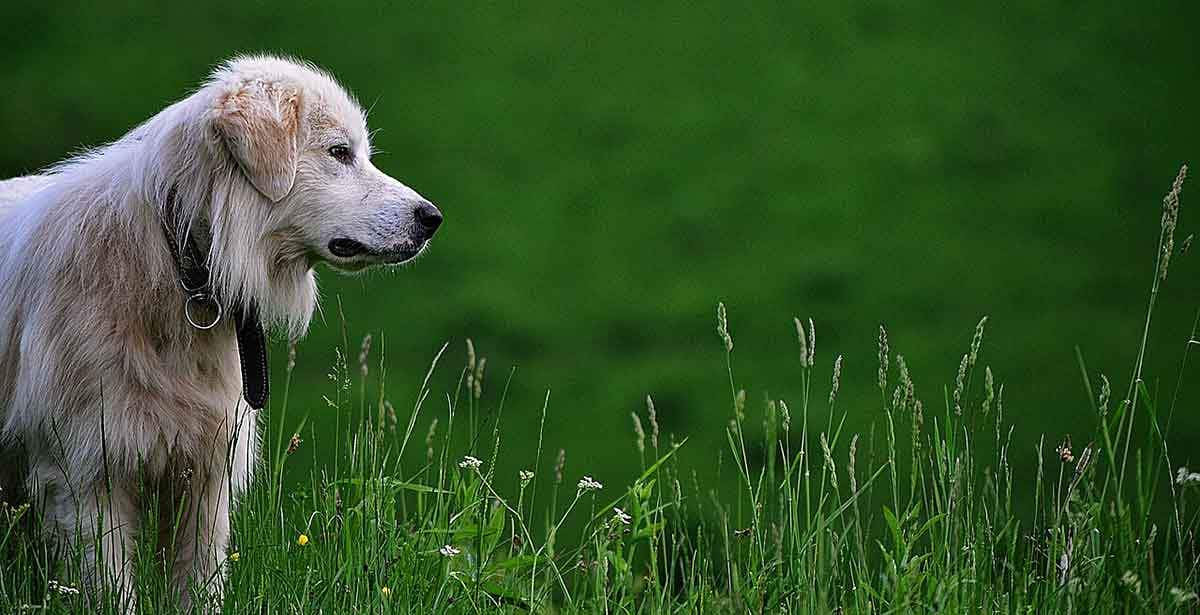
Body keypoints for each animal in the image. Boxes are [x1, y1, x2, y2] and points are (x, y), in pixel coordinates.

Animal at [0, 57, 441, 610]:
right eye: (340, 153)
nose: (433, 218)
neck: (178, 263)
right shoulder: (86, 478)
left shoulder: (206, 475)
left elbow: (201, 584)